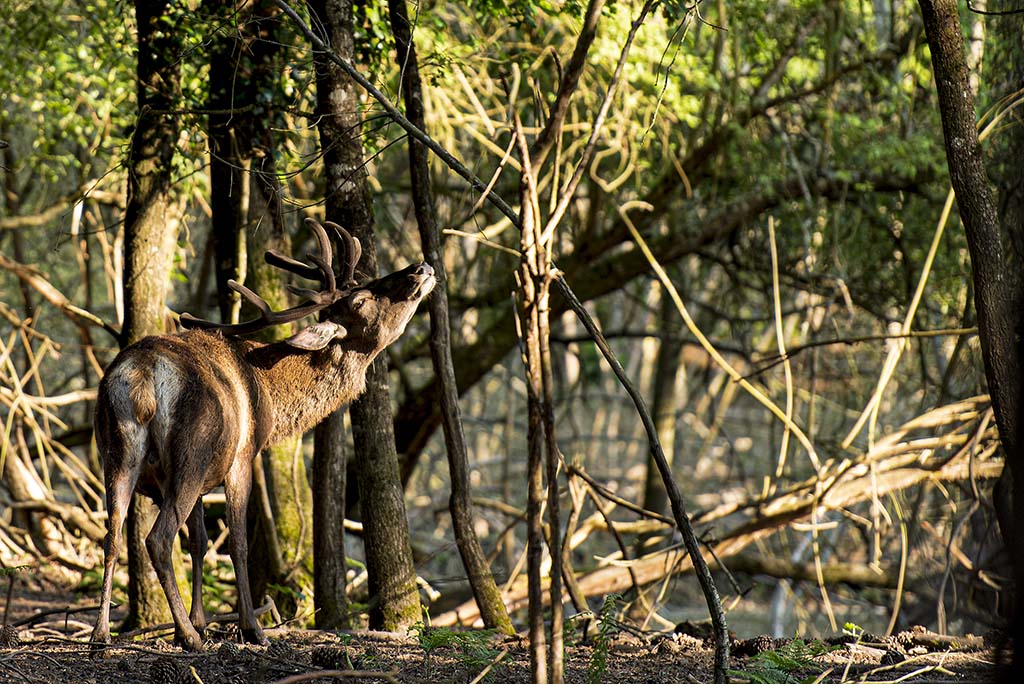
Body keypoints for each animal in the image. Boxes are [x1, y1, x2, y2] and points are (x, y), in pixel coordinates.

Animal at [89, 219, 436, 651]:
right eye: (360, 301)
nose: (421, 267)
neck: (269, 393)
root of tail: (142, 371)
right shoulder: (240, 458)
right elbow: (237, 542)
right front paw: (249, 628)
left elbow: (200, 542)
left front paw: (203, 619)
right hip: (192, 450)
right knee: (158, 538)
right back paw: (187, 636)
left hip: (117, 449)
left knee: (112, 533)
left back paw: (102, 633)